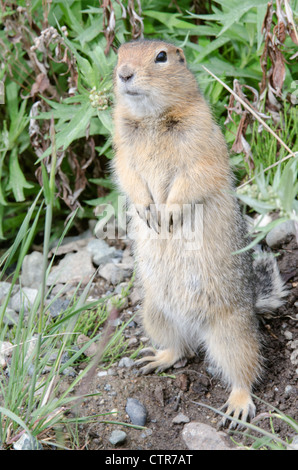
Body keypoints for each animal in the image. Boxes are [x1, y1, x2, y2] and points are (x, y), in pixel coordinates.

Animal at [111, 40, 286, 428]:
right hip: (155, 313)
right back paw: (157, 359)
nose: (124, 74)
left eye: (161, 57)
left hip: (231, 331)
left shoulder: (202, 138)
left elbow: (195, 175)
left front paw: (168, 214)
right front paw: (148, 210)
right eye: (118, 53)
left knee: (245, 368)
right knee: (182, 349)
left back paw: (238, 405)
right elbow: (128, 174)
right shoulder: (121, 148)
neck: (151, 118)